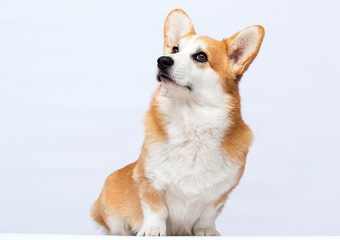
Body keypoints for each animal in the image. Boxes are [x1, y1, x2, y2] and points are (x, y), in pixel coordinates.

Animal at [91, 8, 264, 235]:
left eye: (201, 56)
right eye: (175, 49)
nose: (162, 60)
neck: (190, 119)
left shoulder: (220, 195)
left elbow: (207, 215)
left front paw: (206, 231)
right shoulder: (149, 181)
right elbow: (156, 209)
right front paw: (153, 230)